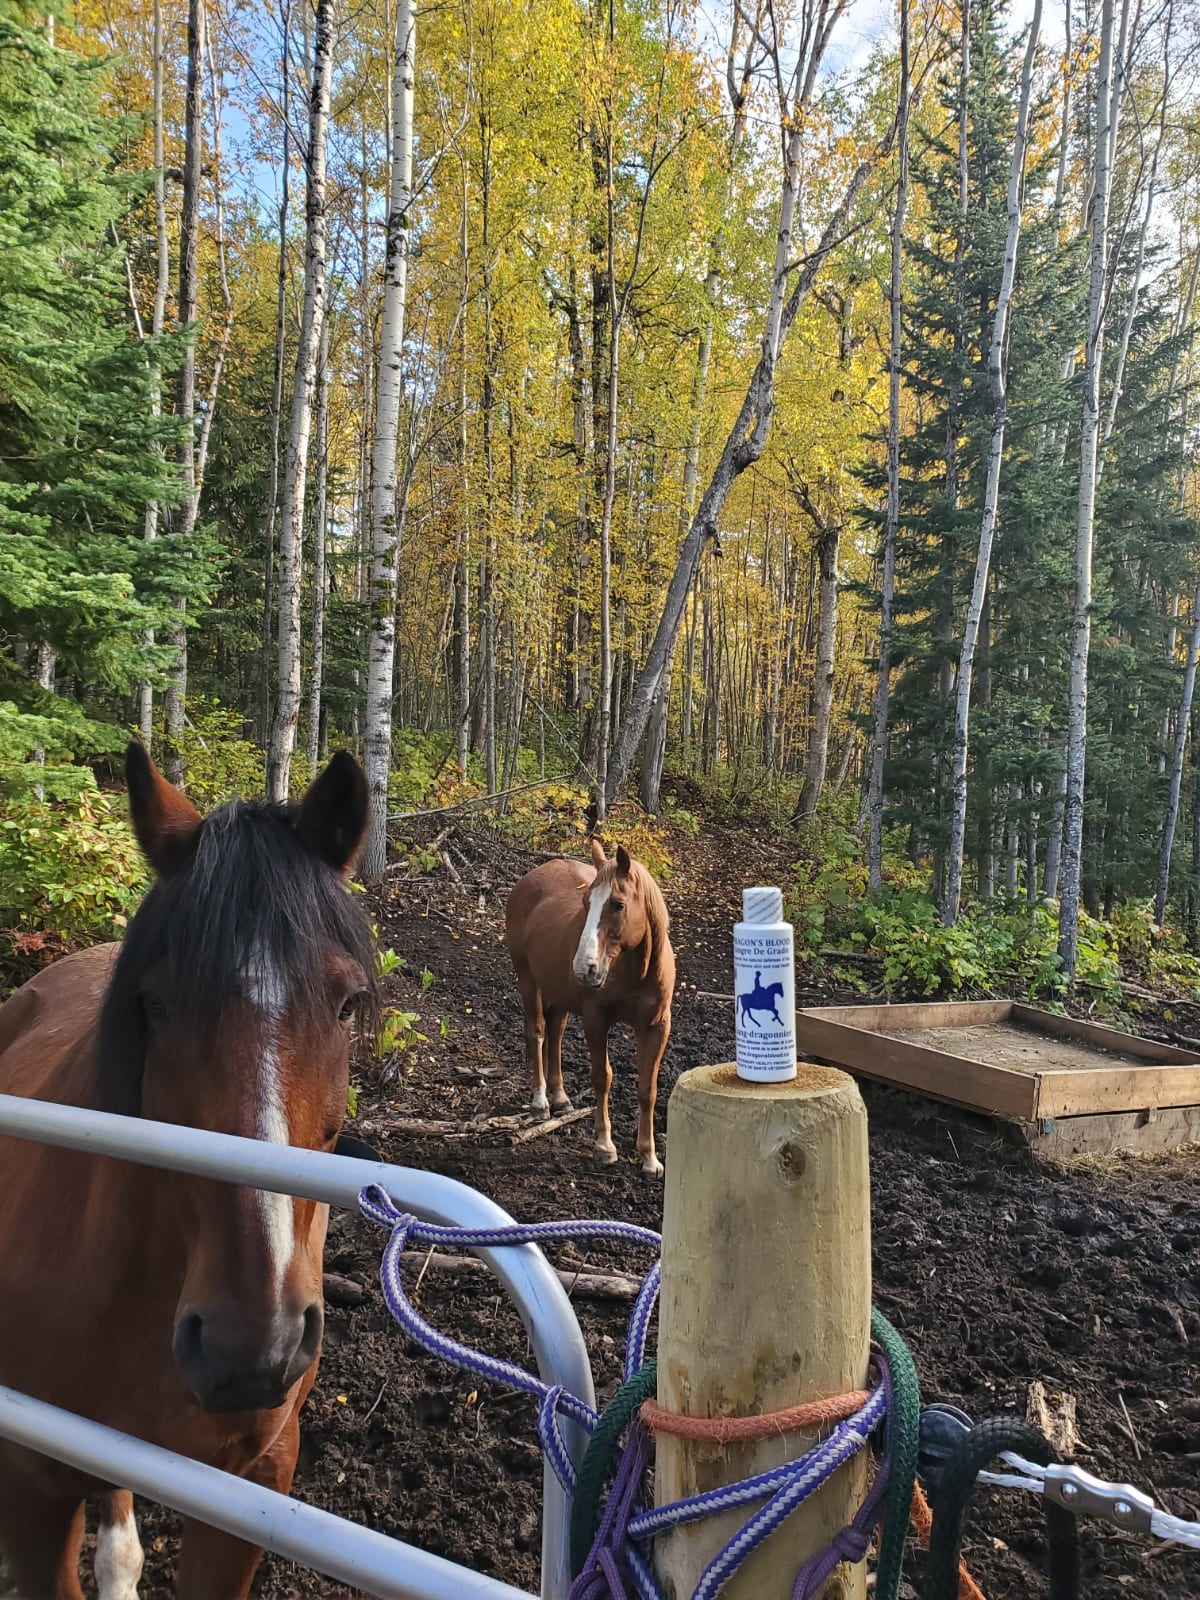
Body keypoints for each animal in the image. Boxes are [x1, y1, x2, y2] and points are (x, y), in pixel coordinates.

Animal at [504, 839, 674, 1177]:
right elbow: (602, 1077)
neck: (636, 972)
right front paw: (604, 1146)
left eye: (618, 905)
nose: (585, 968)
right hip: (527, 979)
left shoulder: (656, 1026)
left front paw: (649, 1157)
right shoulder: (597, 1020)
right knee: (537, 1032)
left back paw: (560, 1097)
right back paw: (541, 1100)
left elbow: (648, 1089)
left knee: (555, 1032)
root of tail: (529, 878)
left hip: (559, 994)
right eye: (585, 902)